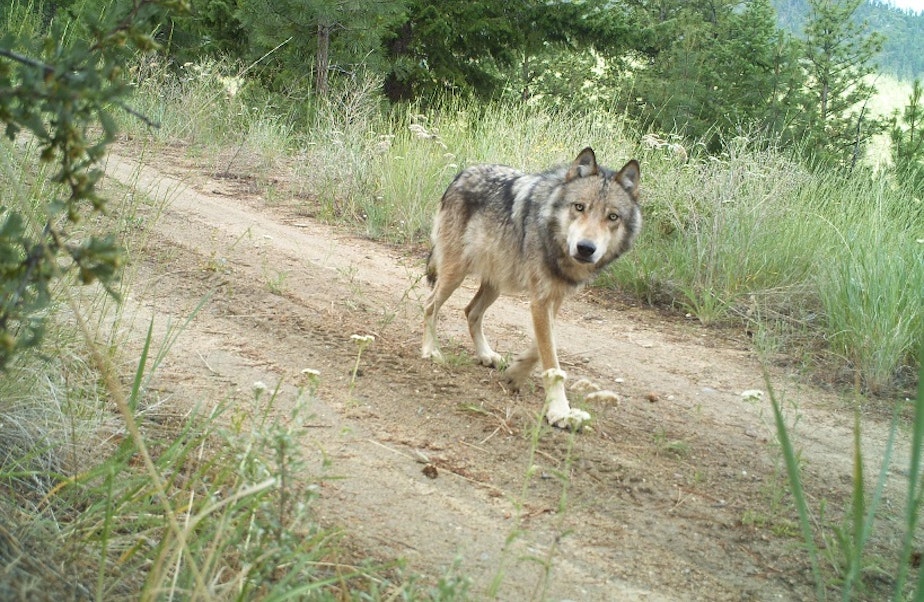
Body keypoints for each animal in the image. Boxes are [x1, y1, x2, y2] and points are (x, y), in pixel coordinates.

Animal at [420, 145, 644, 426]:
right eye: (579, 207)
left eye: (612, 216)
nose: (585, 248)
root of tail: (462, 174)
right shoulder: (540, 301)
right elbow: (551, 358)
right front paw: (560, 411)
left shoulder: (554, 299)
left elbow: (542, 347)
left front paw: (516, 373)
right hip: (455, 275)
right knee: (430, 305)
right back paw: (431, 351)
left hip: (497, 281)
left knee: (471, 312)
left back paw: (486, 355)